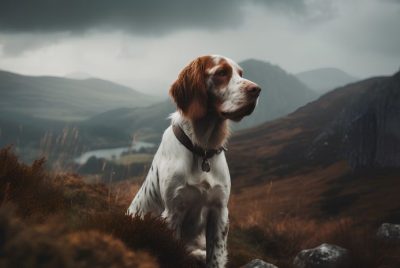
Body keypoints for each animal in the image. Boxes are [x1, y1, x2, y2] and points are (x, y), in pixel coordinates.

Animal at [126, 55, 260, 268]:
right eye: (221, 72)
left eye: (241, 73)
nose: (257, 90)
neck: (202, 149)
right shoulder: (173, 212)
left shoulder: (219, 211)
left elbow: (216, 256)